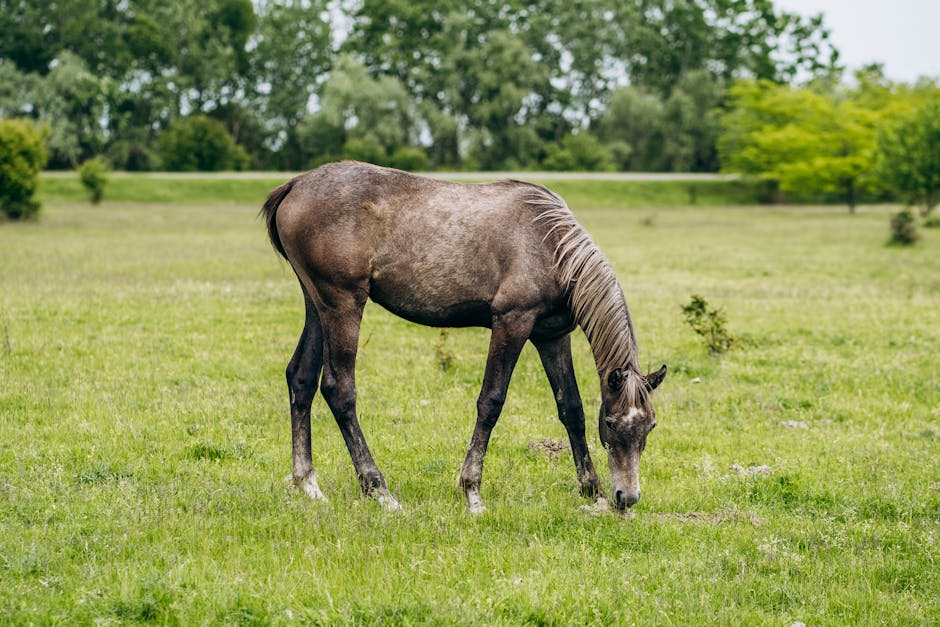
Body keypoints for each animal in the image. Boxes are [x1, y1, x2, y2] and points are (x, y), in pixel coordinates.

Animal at [260, 162, 664, 516]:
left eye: (650, 426)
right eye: (612, 424)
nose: (627, 497)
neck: (549, 246)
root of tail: (295, 185)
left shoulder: (552, 337)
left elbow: (572, 408)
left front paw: (591, 490)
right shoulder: (511, 324)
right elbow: (491, 402)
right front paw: (473, 492)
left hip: (317, 306)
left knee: (301, 378)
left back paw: (309, 484)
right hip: (343, 304)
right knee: (339, 389)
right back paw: (380, 491)